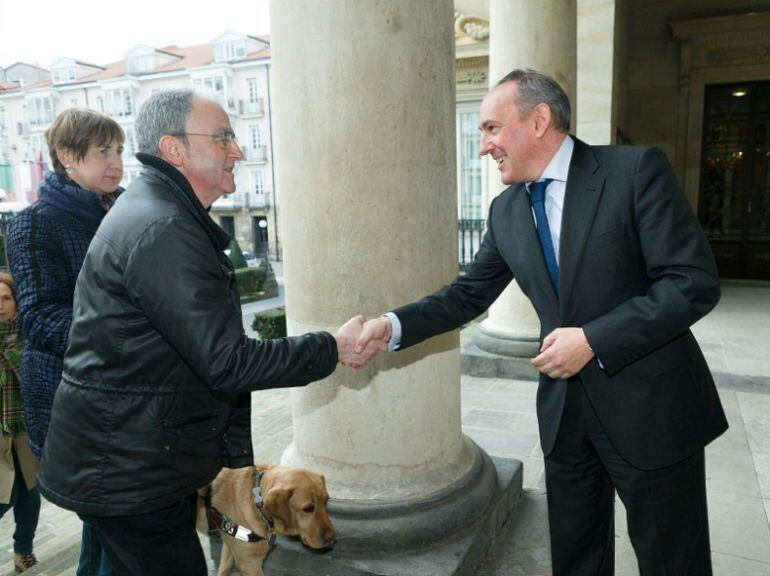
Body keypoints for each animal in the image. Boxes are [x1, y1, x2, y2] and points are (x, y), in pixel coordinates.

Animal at [196, 464, 334, 576]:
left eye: (326, 501)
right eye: (308, 508)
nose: (332, 539)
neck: (256, 502)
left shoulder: (230, 544)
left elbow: (224, 569)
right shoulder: (249, 563)